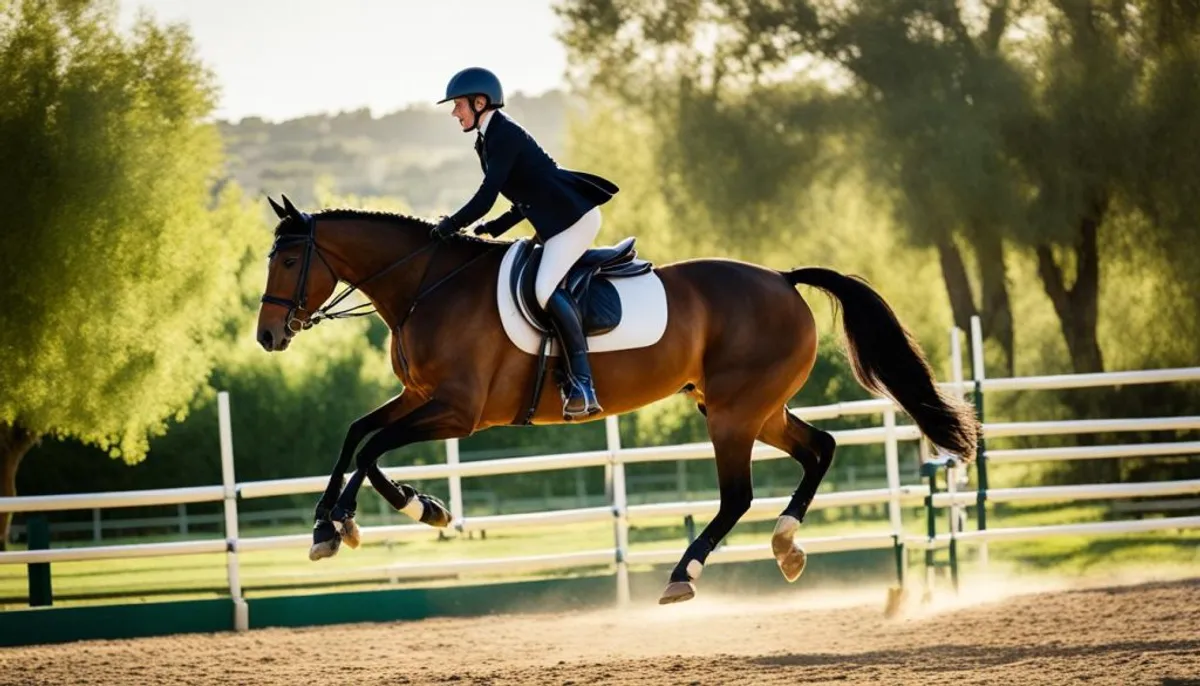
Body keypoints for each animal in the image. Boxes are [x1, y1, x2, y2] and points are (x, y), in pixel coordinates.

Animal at [253, 194, 974, 604]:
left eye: (287, 262)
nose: (267, 336)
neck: (427, 286)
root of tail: (782, 278)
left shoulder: (459, 410)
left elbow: (373, 451)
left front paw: (415, 508)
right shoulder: (420, 396)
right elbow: (356, 434)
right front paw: (328, 526)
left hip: (735, 413)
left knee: (738, 495)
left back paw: (685, 574)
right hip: (750, 408)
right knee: (818, 448)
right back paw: (787, 544)